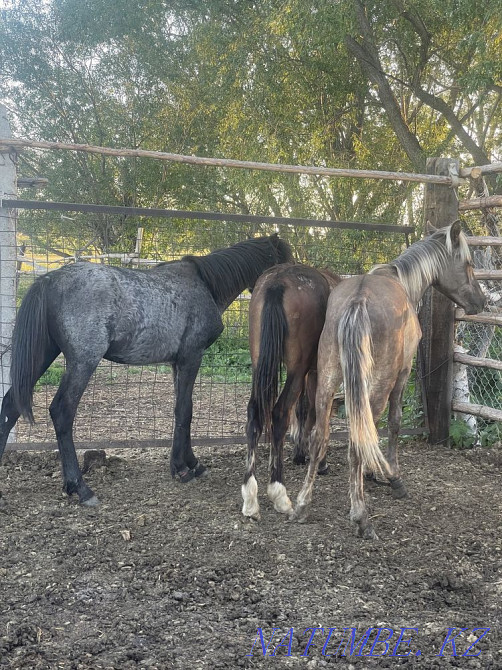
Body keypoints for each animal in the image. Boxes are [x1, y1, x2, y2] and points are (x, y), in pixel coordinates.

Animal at [0, 234, 293, 507]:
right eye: (284, 262)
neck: (205, 284)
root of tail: (49, 281)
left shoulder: (177, 362)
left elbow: (183, 409)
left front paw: (190, 463)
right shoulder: (192, 357)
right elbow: (184, 411)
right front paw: (182, 468)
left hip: (44, 355)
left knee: (10, 405)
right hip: (82, 362)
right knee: (62, 411)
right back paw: (81, 488)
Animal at [242, 263, 342, 520]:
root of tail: (277, 283)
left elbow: (304, 409)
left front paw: (300, 450)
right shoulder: (317, 372)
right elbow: (315, 413)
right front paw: (318, 460)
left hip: (261, 364)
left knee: (255, 414)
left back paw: (250, 496)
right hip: (297, 368)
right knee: (279, 413)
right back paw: (279, 492)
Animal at [291, 221, 485, 538]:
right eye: (467, 263)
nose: (480, 302)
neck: (403, 282)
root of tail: (358, 301)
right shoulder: (403, 373)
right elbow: (393, 423)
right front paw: (391, 476)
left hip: (328, 382)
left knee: (320, 437)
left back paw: (302, 504)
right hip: (378, 384)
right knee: (357, 438)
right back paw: (361, 516)